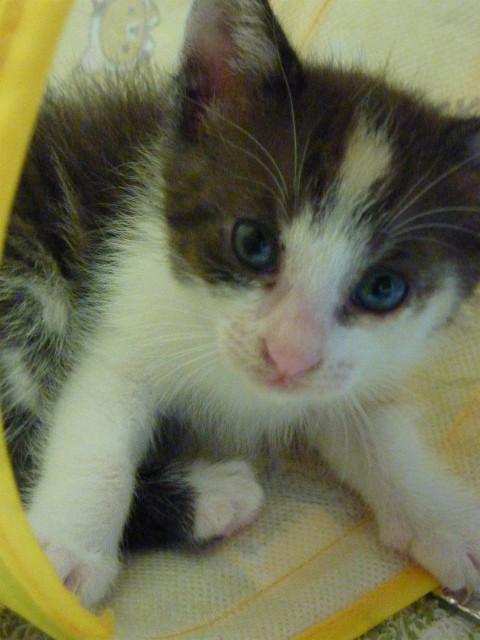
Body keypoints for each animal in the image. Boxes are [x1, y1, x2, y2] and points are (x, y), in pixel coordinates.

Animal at [3, 0, 480, 609]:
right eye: (253, 243)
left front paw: (442, 516)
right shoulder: (125, 304)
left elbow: (374, 430)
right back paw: (210, 495)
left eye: (383, 289)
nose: (287, 355)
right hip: (24, 283)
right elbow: (99, 423)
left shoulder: (346, 371)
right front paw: (67, 549)